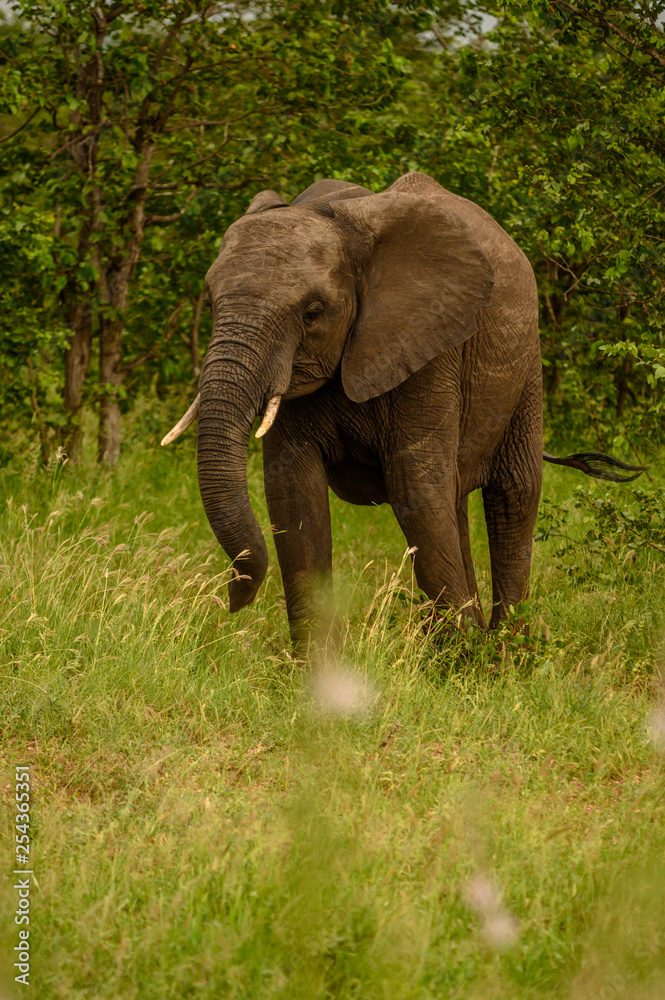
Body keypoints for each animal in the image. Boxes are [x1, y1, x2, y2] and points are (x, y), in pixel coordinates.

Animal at [162, 170, 643, 647]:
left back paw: (508, 651)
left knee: (513, 493)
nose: (231, 598)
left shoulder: (430, 343)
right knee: (454, 501)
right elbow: (293, 492)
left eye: (313, 313)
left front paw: (464, 659)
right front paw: (320, 668)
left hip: (525, 365)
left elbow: (414, 485)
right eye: (210, 302)